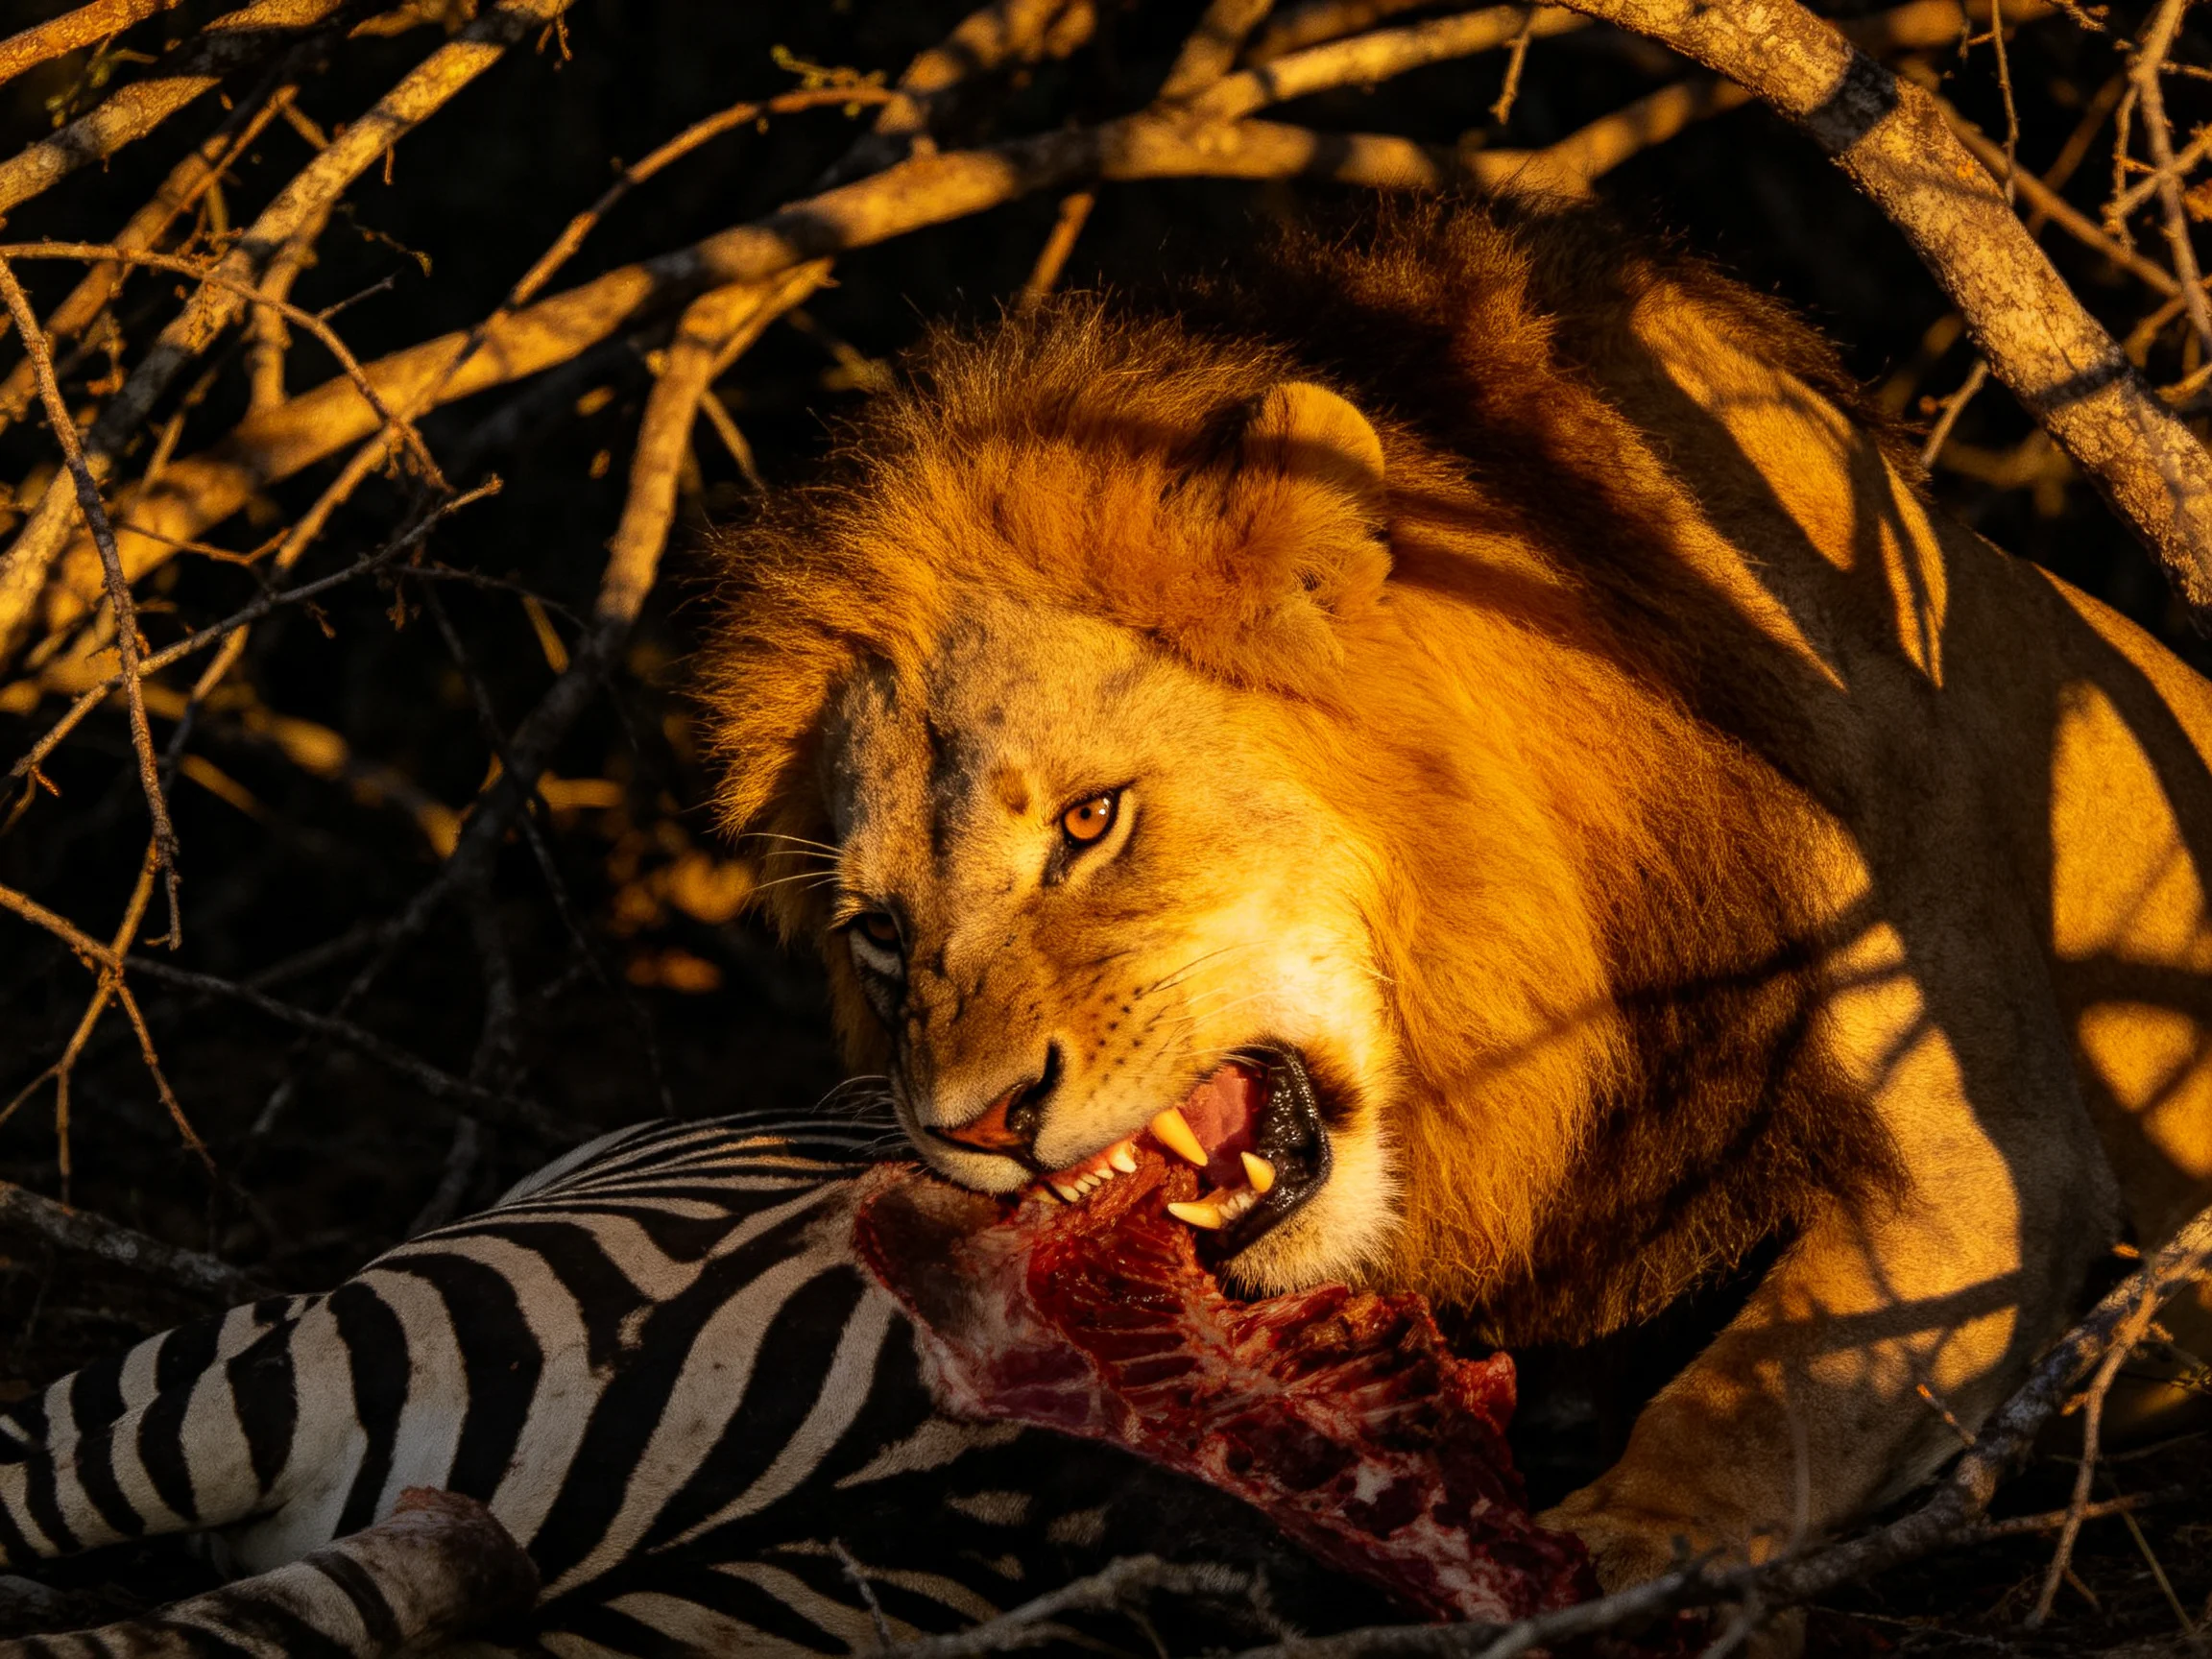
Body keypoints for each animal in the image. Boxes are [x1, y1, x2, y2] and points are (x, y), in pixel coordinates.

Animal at [701, 196, 2212, 1591]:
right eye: (879, 934)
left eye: (1089, 821)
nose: (974, 1127)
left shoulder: (1991, 1159)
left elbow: (1767, 1386)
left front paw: (1615, 1548)